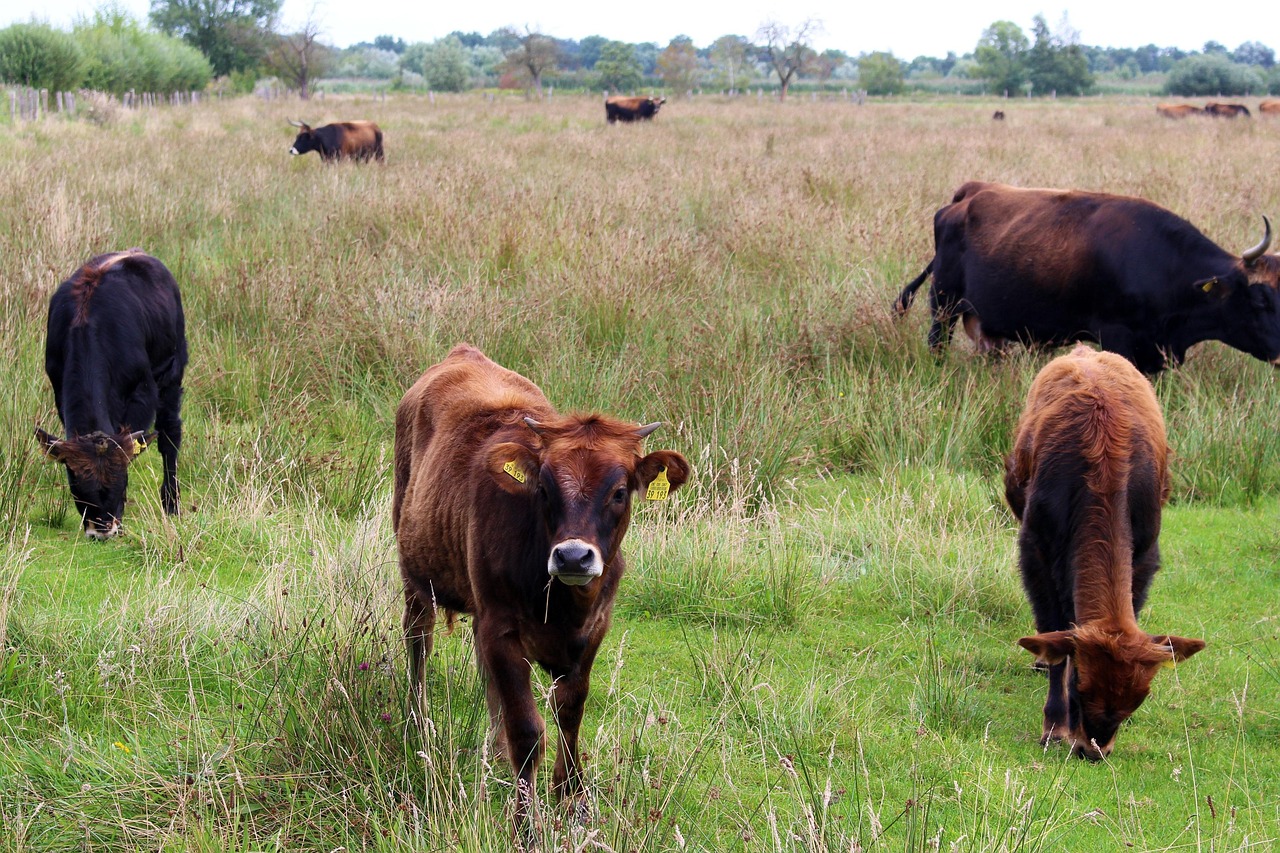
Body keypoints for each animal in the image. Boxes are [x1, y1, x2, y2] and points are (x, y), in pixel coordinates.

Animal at [35, 251, 187, 539]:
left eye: (122, 480)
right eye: (76, 484)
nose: (103, 531)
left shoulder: (143, 392)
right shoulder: (59, 390)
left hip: (173, 370)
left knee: (170, 433)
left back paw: (171, 503)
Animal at [392, 343, 689, 839]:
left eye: (620, 491)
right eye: (545, 490)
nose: (572, 557)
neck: (564, 607)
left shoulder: (594, 628)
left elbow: (569, 710)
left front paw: (572, 798)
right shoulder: (501, 627)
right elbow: (528, 731)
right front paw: (524, 825)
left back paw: (493, 752)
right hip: (415, 569)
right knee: (419, 638)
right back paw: (419, 721)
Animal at [1005, 345, 1204, 760]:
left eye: (1140, 697)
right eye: (1081, 685)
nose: (1093, 750)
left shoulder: (1144, 554)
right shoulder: (1035, 550)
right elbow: (1056, 638)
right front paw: (1054, 726)